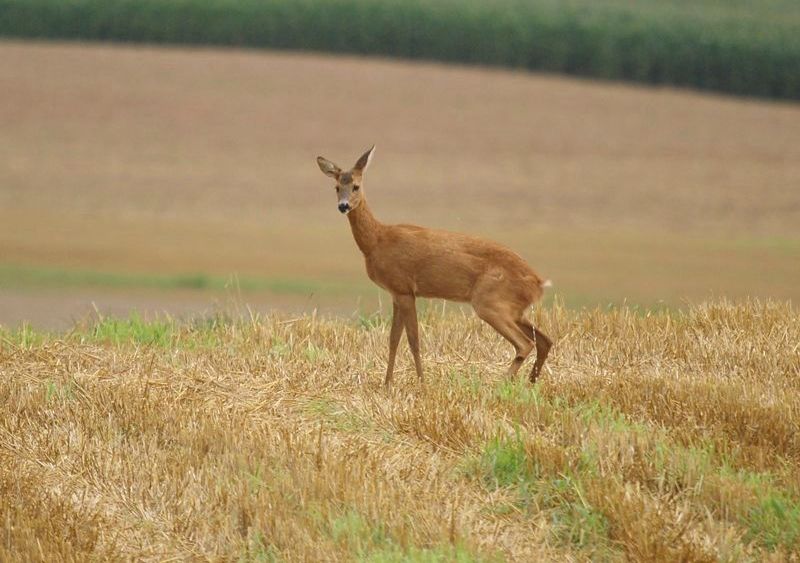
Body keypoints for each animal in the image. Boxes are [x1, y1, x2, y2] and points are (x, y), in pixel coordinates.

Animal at [316, 147, 552, 388]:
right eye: (337, 187)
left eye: (356, 185)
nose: (343, 206)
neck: (377, 241)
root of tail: (538, 283)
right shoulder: (396, 293)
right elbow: (393, 339)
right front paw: (388, 384)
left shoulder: (404, 289)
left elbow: (413, 340)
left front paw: (421, 382)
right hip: (513, 308)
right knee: (544, 340)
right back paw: (531, 382)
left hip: (490, 302)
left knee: (525, 343)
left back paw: (501, 383)